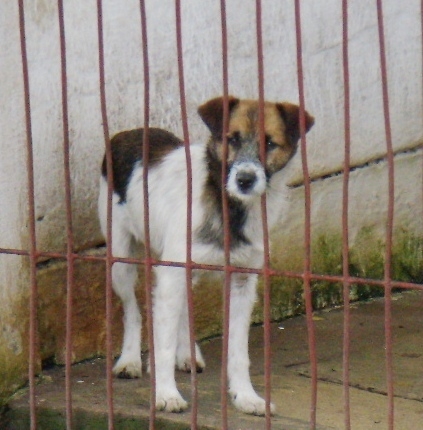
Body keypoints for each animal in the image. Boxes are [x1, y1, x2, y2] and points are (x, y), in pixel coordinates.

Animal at [98, 96, 314, 415]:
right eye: (232, 139)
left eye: (269, 143)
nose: (245, 180)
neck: (229, 207)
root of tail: (127, 133)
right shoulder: (171, 273)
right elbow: (161, 342)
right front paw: (166, 393)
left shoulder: (242, 281)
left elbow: (238, 350)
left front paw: (246, 396)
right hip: (121, 261)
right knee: (133, 309)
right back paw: (130, 360)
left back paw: (188, 353)